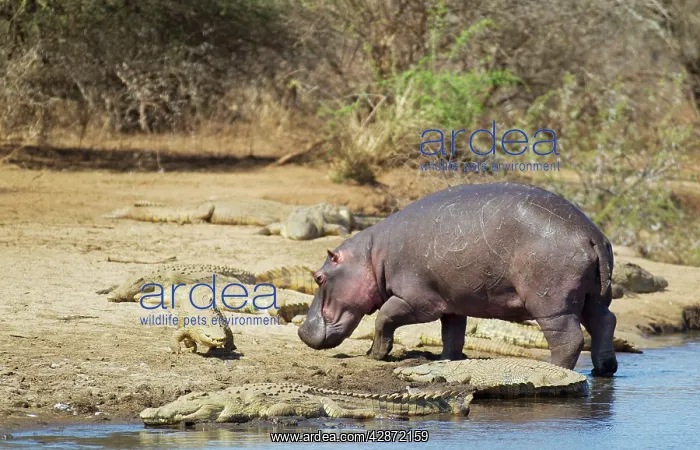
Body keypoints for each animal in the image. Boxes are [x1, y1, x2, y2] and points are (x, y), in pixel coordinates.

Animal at [298, 182, 618, 377]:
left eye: (319, 277)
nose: (301, 330)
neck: (370, 257)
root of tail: (591, 235)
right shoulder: (452, 301)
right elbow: (452, 333)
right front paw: (446, 360)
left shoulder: (418, 301)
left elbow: (384, 317)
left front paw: (374, 355)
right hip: (591, 296)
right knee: (605, 321)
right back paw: (603, 369)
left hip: (552, 303)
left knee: (568, 338)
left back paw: (553, 370)